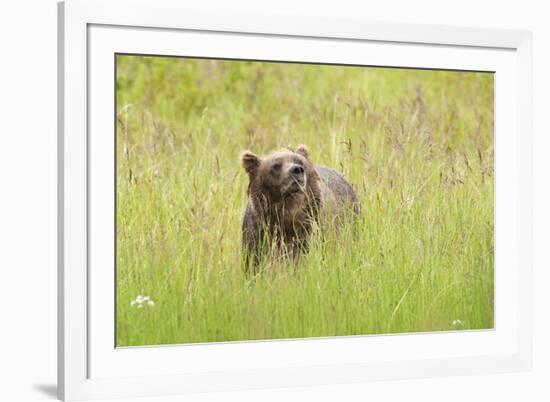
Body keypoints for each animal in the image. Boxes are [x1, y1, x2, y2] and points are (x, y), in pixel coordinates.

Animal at [239, 144, 360, 274]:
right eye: (276, 165)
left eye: (299, 162)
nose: (297, 169)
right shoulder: (260, 232)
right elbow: (255, 261)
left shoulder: (309, 228)